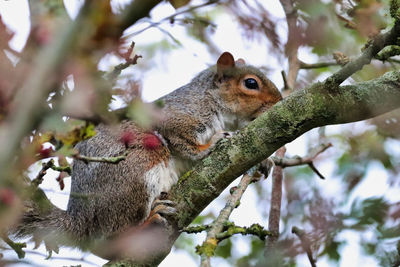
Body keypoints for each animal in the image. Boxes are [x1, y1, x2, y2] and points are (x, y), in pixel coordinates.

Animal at [12, 50, 282, 258]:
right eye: (250, 83)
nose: (280, 101)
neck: (212, 101)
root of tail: (80, 222)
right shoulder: (178, 117)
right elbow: (185, 143)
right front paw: (211, 144)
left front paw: (265, 161)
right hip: (139, 166)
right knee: (113, 234)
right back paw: (151, 218)